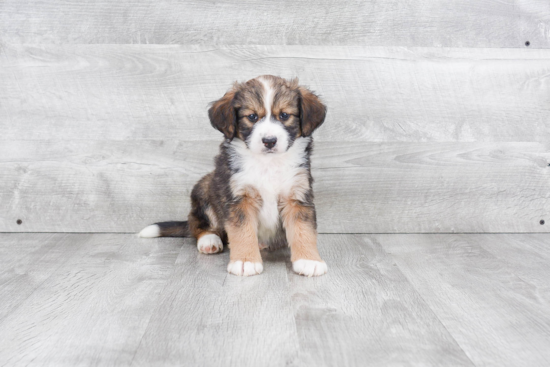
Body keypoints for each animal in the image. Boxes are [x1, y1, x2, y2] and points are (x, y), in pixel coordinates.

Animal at [140, 75, 328, 278]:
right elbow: (242, 231)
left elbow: (304, 231)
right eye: (252, 117)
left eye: (284, 115)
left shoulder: (298, 195)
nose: (269, 141)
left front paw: (309, 261)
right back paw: (209, 240)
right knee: (197, 225)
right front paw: (245, 261)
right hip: (204, 188)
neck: (268, 163)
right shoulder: (239, 198)